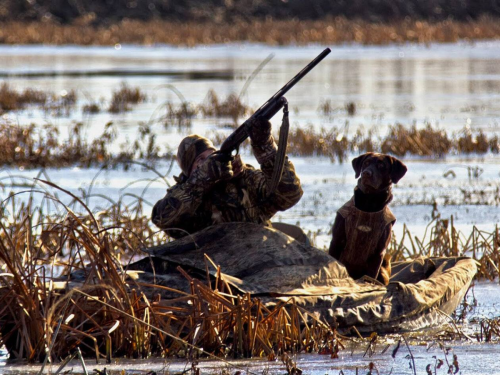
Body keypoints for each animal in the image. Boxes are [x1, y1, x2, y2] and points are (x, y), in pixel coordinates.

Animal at [330, 153, 408, 284]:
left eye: (381, 165)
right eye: (366, 163)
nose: (366, 173)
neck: (369, 205)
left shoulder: (378, 252)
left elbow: (371, 276)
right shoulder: (336, 241)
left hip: (383, 270)